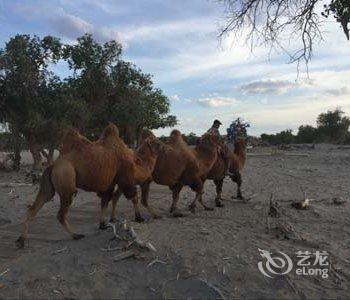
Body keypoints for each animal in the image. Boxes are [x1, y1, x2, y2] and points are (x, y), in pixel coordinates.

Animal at [15, 123, 158, 247]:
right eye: (156, 142)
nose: (161, 145)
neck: (138, 165)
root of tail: (53, 165)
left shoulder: (110, 183)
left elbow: (105, 201)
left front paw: (103, 224)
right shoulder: (126, 178)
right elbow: (133, 197)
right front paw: (139, 218)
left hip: (48, 186)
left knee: (34, 207)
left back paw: (21, 240)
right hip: (66, 180)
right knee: (61, 213)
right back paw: (76, 235)